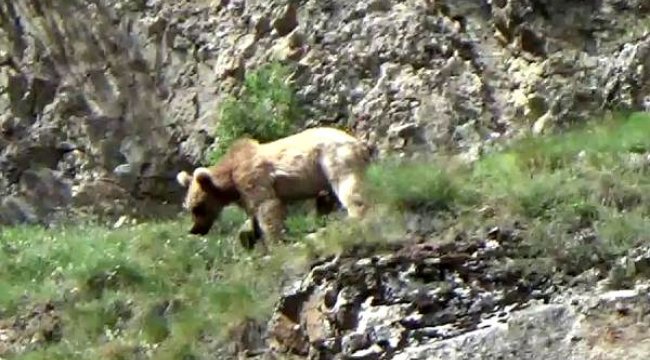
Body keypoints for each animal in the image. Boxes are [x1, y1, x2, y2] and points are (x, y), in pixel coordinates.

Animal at [175, 128, 372, 252]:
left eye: (198, 207)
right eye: (189, 207)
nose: (194, 229)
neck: (229, 181)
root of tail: (360, 143)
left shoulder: (252, 177)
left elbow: (267, 206)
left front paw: (276, 243)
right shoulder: (244, 194)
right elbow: (254, 215)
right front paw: (249, 237)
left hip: (333, 159)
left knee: (348, 186)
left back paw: (355, 217)